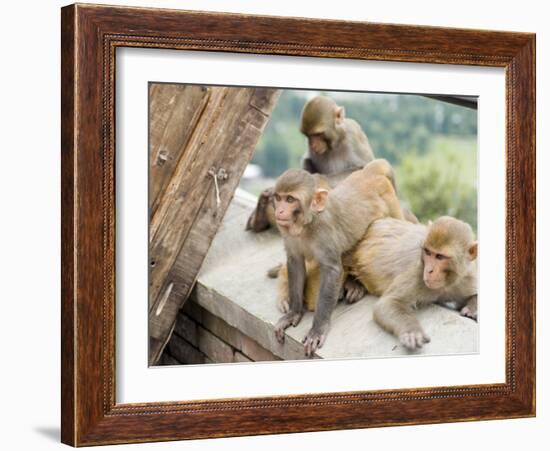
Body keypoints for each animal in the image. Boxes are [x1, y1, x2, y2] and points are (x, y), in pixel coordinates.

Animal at [246, 96, 376, 235]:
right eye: (309, 136)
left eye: (318, 134)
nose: (313, 145)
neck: (334, 143)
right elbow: (307, 160)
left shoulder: (353, 135)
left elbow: (364, 168)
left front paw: (317, 179)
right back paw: (260, 217)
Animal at [274, 159, 408, 356]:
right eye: (279, 198)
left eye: (290, 199)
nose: (280, 211)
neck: (307, 224)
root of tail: (369, 172)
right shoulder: (289, 235)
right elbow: (295, 262)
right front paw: (293, 313)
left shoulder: (325, 233)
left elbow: (332, 271)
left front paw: (318, 329)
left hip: (391, 203)